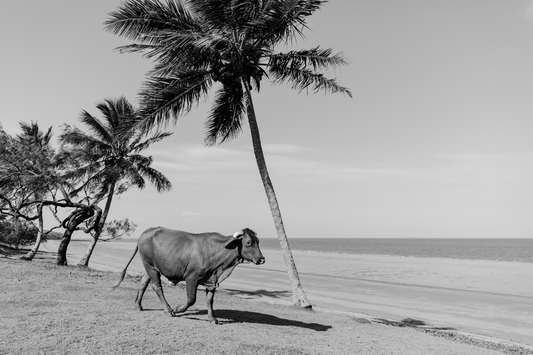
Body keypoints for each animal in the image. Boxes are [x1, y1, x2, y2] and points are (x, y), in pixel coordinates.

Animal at [111, 228, 264, 326]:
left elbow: (210, 301)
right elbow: (191, 299)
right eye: (248, 242)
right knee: (157, 287)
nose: (262, 259)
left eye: (258, 241)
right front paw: (178, 308)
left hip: (150, 267)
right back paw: (168, 310)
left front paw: (212, 318)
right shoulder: (191, 277)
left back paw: (138, 305)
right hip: (151, 267)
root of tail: (146, 232)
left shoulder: (211, 280)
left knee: (143, 283)